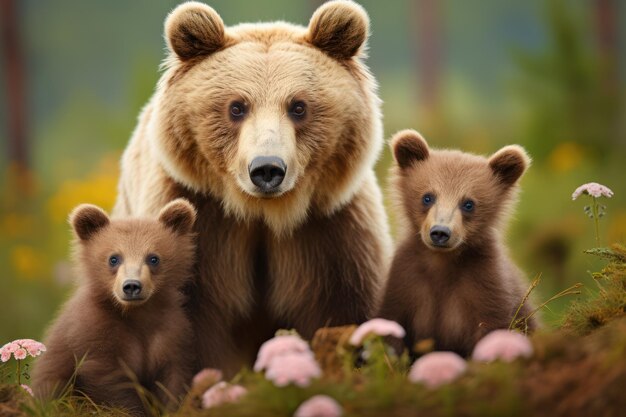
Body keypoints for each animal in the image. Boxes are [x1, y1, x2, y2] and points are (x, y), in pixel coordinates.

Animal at [109, 0, 388, 376]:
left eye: (298, 106)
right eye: (237, 107)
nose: (267, 168)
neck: (261, 214)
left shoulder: (332, 232)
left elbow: (345, 307)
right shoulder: (198, 220)